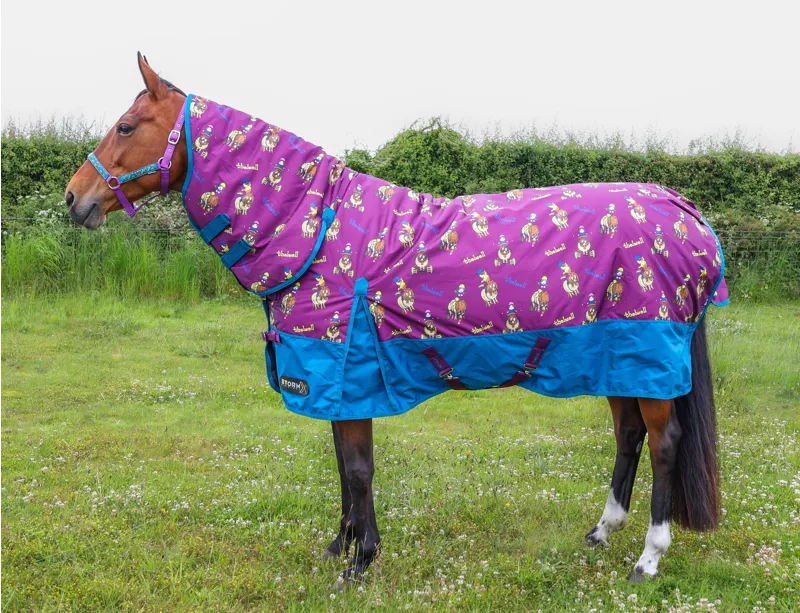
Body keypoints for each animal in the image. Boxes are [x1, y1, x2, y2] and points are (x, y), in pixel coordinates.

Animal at [65, 53, 725, 584]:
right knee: (629, 435)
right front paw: (342, 546)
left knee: (663, 443)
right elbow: (342, 467)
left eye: (127, 126)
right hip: (617, 358)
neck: (317, 229)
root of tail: (684, 212)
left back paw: (648, 557)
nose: (74, 198)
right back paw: (601, 532)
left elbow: (358, 470)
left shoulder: (347, 373)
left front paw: (361, 563)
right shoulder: (334, 382)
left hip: (648, 359)